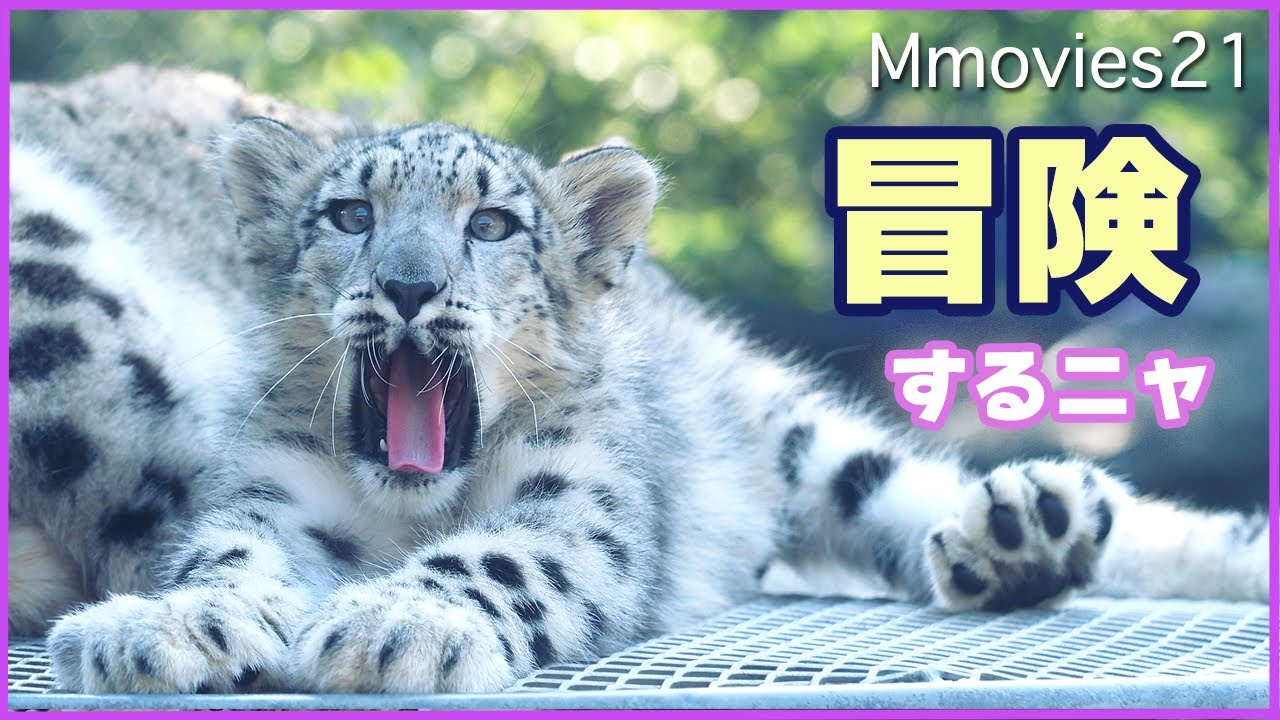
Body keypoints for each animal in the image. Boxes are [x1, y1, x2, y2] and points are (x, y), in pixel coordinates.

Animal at [7, 65, 1269, 695]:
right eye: (350, 214)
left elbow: (496, 558)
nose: (409, 286)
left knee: (887, 482)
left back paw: (1029, 522)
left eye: (494, 224)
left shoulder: (577, 498)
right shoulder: (272, 499)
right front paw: (157, 630)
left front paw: (393, 624)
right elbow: (225, 560)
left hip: (790, 432)